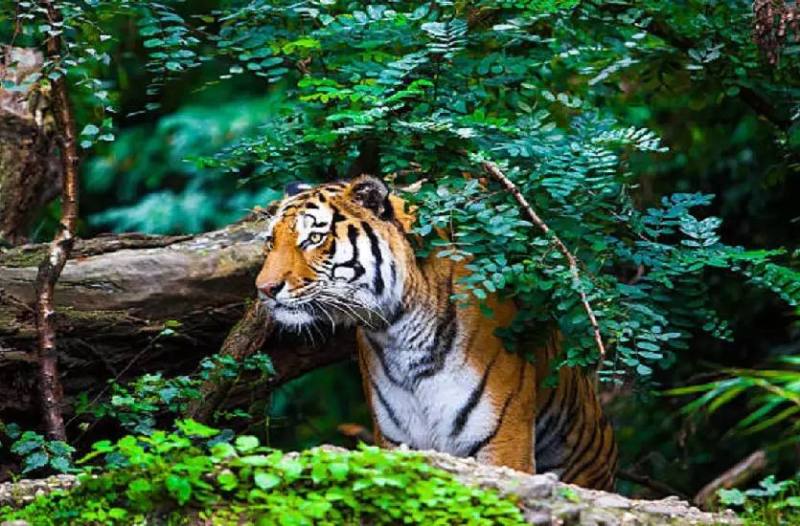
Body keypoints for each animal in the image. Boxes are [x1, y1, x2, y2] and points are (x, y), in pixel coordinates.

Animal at [255, 175, 618, 489]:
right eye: (272, 241)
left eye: (315, 238)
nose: (264, 289)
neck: (397, 331)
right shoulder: (396, 440)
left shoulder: (503, 440)